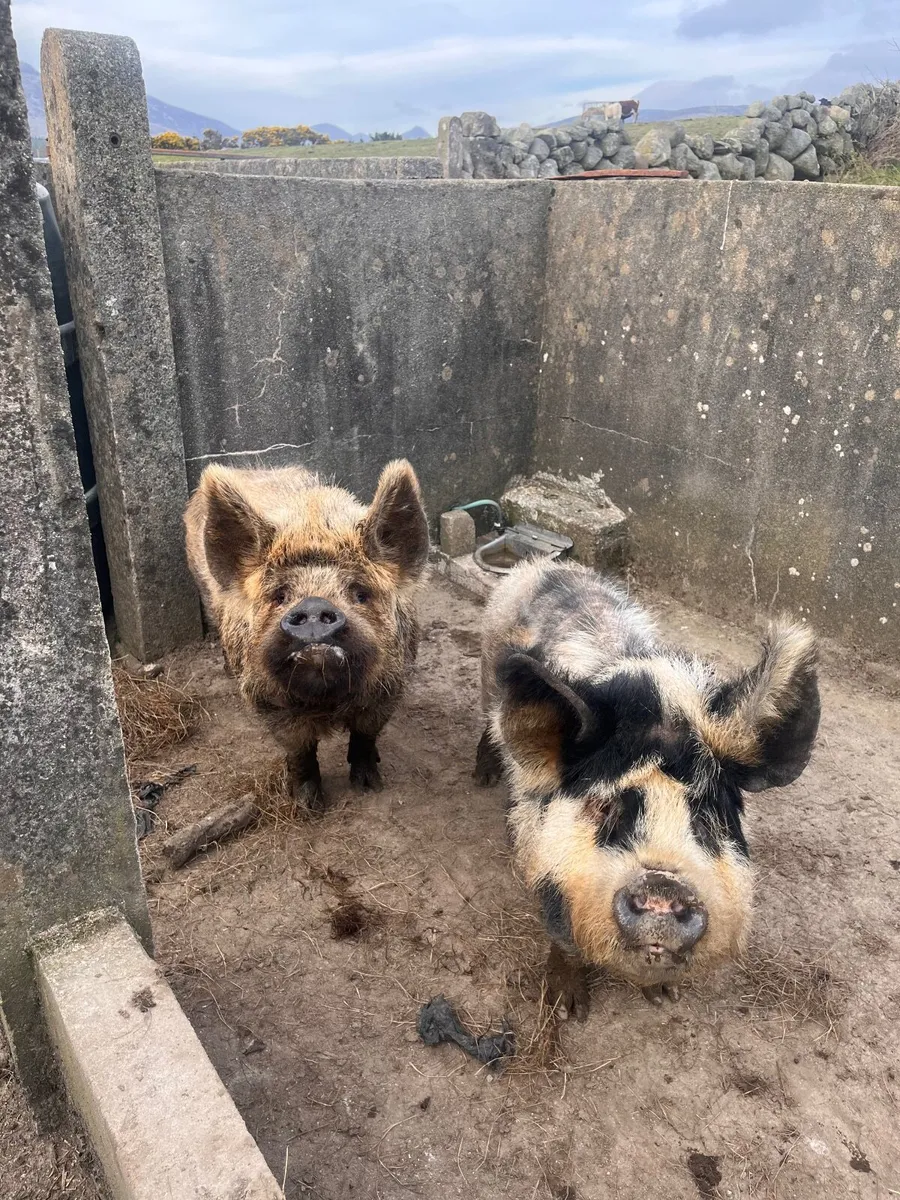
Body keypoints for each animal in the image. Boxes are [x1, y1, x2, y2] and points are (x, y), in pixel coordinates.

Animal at [185, 460, 429, 811]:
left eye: (360, 593)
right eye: (280, 596)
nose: (313, 605)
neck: (326, 702)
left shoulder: (390, 688)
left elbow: (365, 735)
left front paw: (369, 787)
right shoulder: (270, 703)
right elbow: (300, 750)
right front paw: (308, 806)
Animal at [475, 559, 820, 1017]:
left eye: (706, 818)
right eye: (604, 807)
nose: (663, 884)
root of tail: (545, 565)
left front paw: (664, 998)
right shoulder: (541, 848)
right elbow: (562, 934)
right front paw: (569, 1010)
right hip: (485, 672)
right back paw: (482, 777)